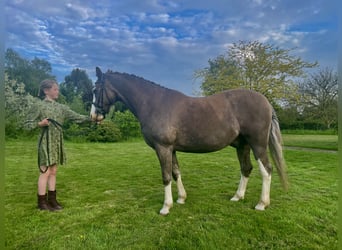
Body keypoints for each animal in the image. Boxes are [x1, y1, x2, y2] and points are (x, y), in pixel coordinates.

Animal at [89, 66, 288, 215]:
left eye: (95, 90)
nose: (93, 116)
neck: (153, 103)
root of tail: (266, 102)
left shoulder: (163, 148)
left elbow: (166, 176)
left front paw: (165, 207)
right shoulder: (171, 149)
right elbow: (176, 172)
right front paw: (181, 199)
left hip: (258, 144)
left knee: (266, 170)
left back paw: (262, 203)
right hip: (242, 145)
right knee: (246, 169)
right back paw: (237, 197)